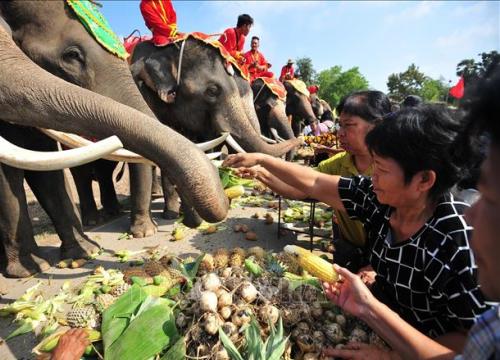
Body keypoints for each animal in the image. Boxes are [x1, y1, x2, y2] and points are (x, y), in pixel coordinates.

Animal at [0, 1, 227, 278]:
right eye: (72, 55)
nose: (189, 221)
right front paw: (30, 270)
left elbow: (44, 166)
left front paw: (85, 253)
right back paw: (93, 222)